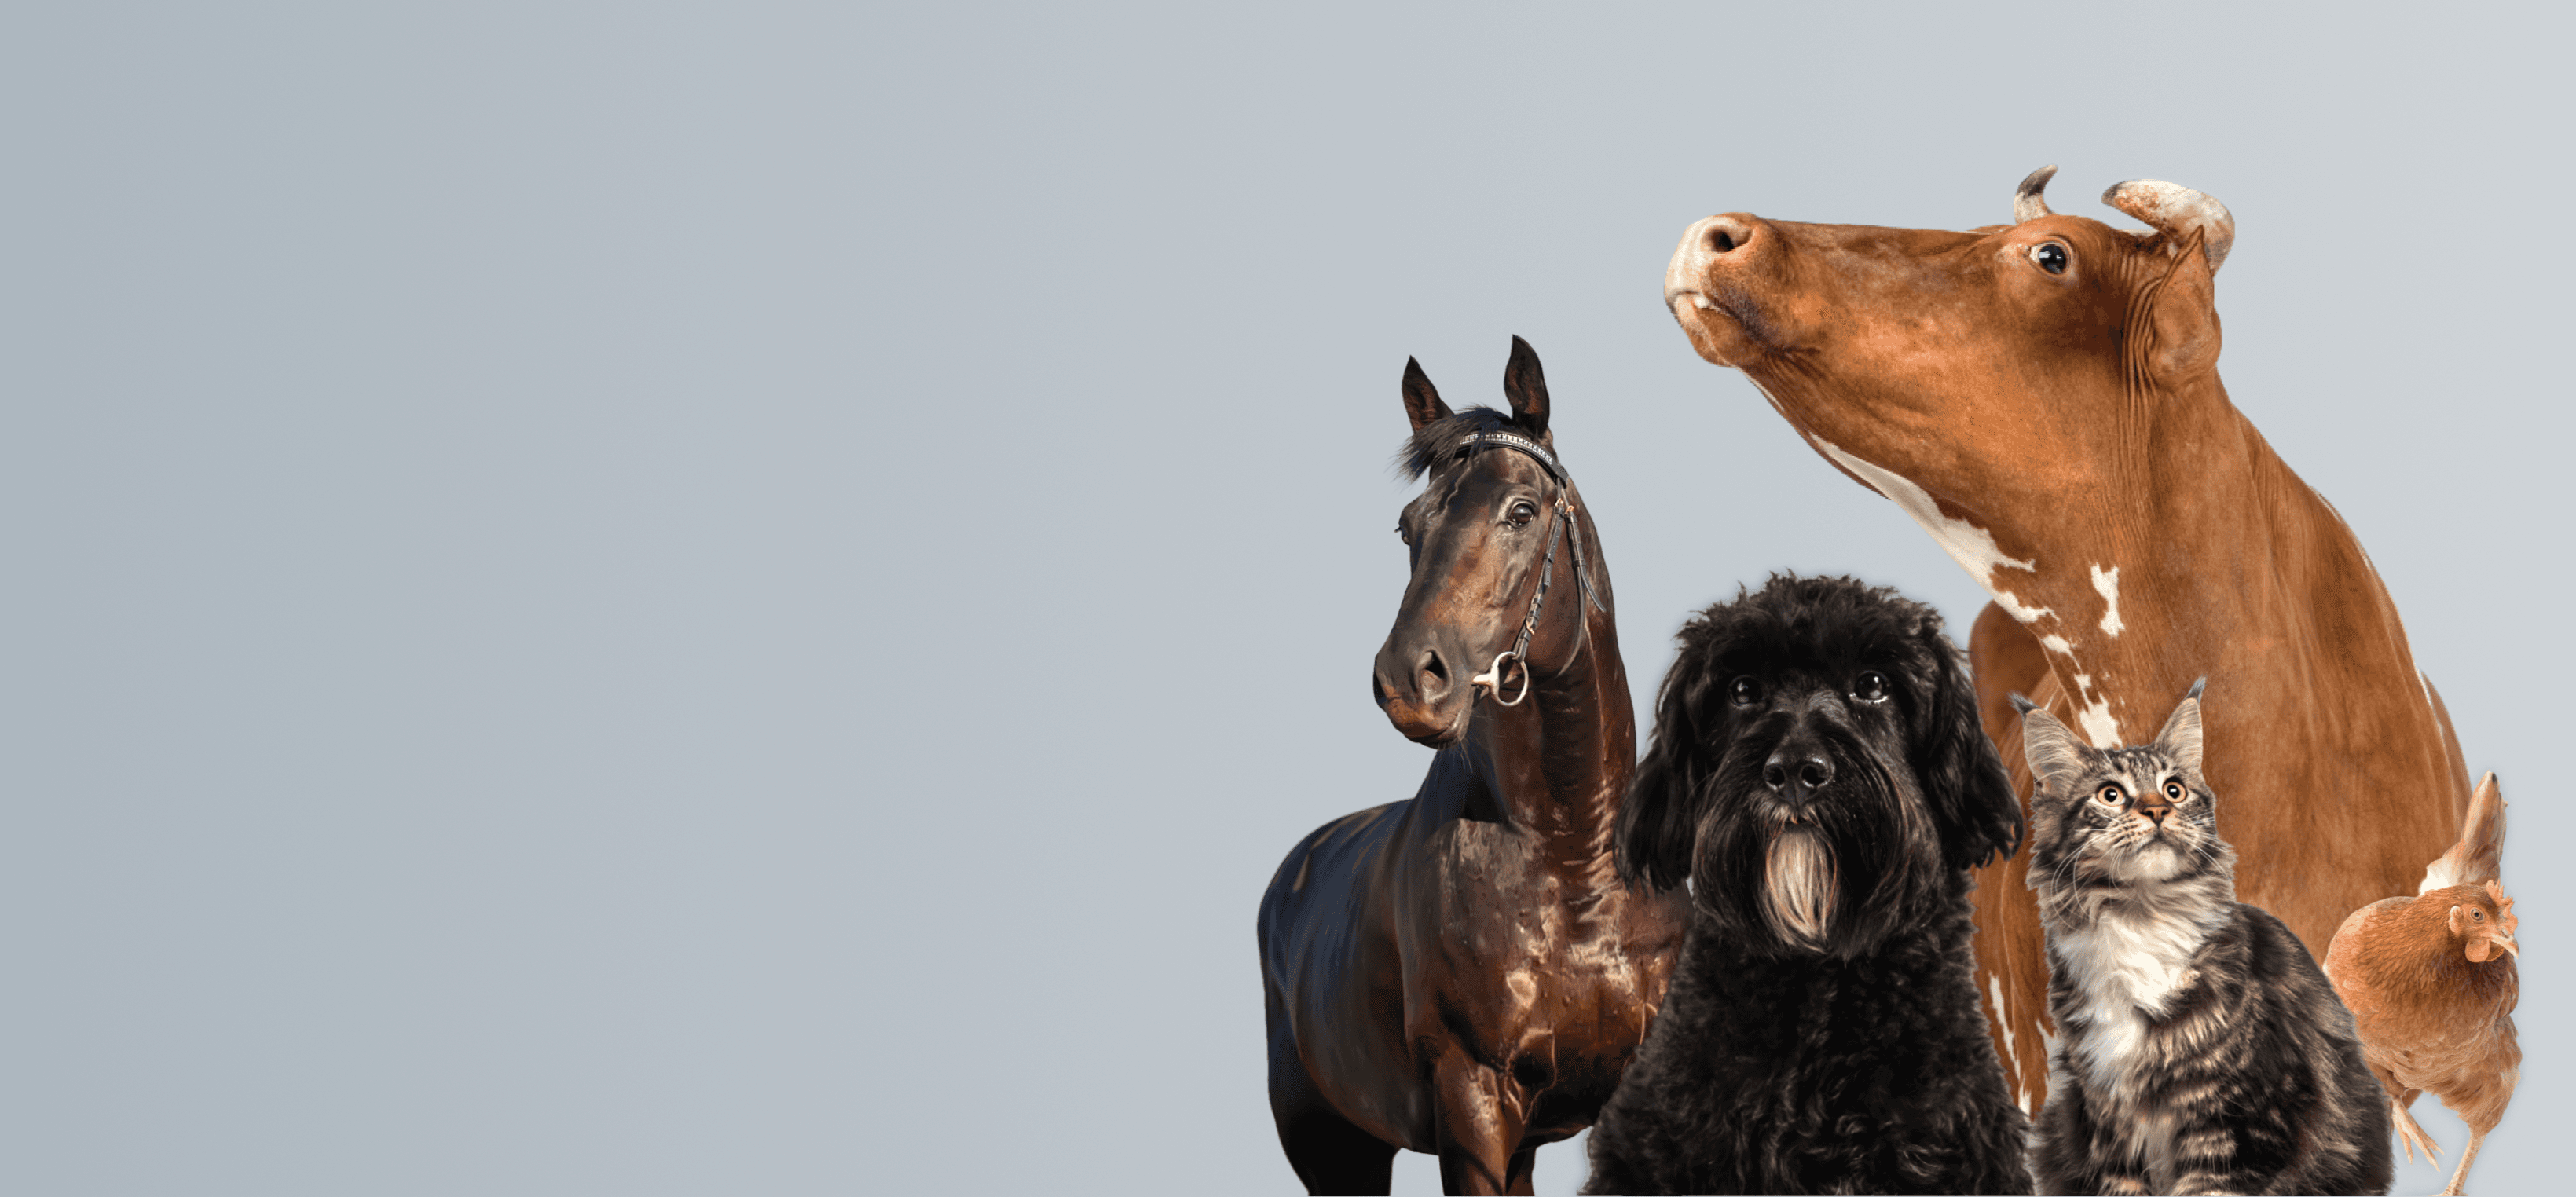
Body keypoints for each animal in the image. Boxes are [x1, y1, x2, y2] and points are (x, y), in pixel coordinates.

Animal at [1257, 338, 1687, 1195]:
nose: (1408, 679)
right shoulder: (1473, 1099)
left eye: (1521, 511)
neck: (1573, 862)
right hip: (1335, 1150)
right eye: (1407, 527)